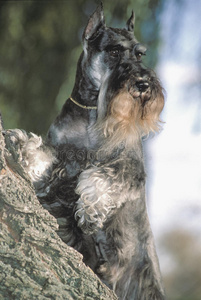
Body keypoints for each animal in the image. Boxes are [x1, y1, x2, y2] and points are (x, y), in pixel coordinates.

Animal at [4, 2, 166, 300]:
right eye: (114, 51)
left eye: (140, 54)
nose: (143, 84)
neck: (93, 110)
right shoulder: (61, 158)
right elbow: (44, 155)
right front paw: (20, 143)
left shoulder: (129, 168)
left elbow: (99, 176)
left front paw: (91, 213)